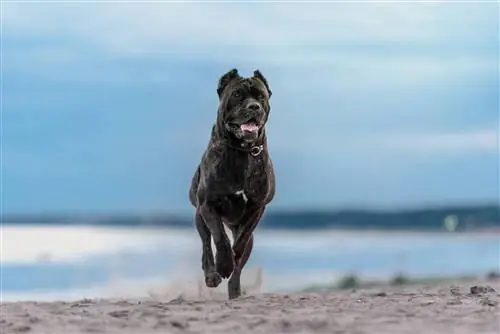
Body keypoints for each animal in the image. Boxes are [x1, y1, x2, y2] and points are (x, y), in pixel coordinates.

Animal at [188, 68, 276, 300]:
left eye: (260, 96)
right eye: (237, 94)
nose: (254, 107)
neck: (241, 151)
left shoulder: (256, 207)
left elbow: (240, 243)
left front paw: (230, 263)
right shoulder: (208, 204)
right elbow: (219, 237)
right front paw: (223, 264)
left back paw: (234, 291)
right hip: (199, 217)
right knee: (206, 245)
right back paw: (212, 274)